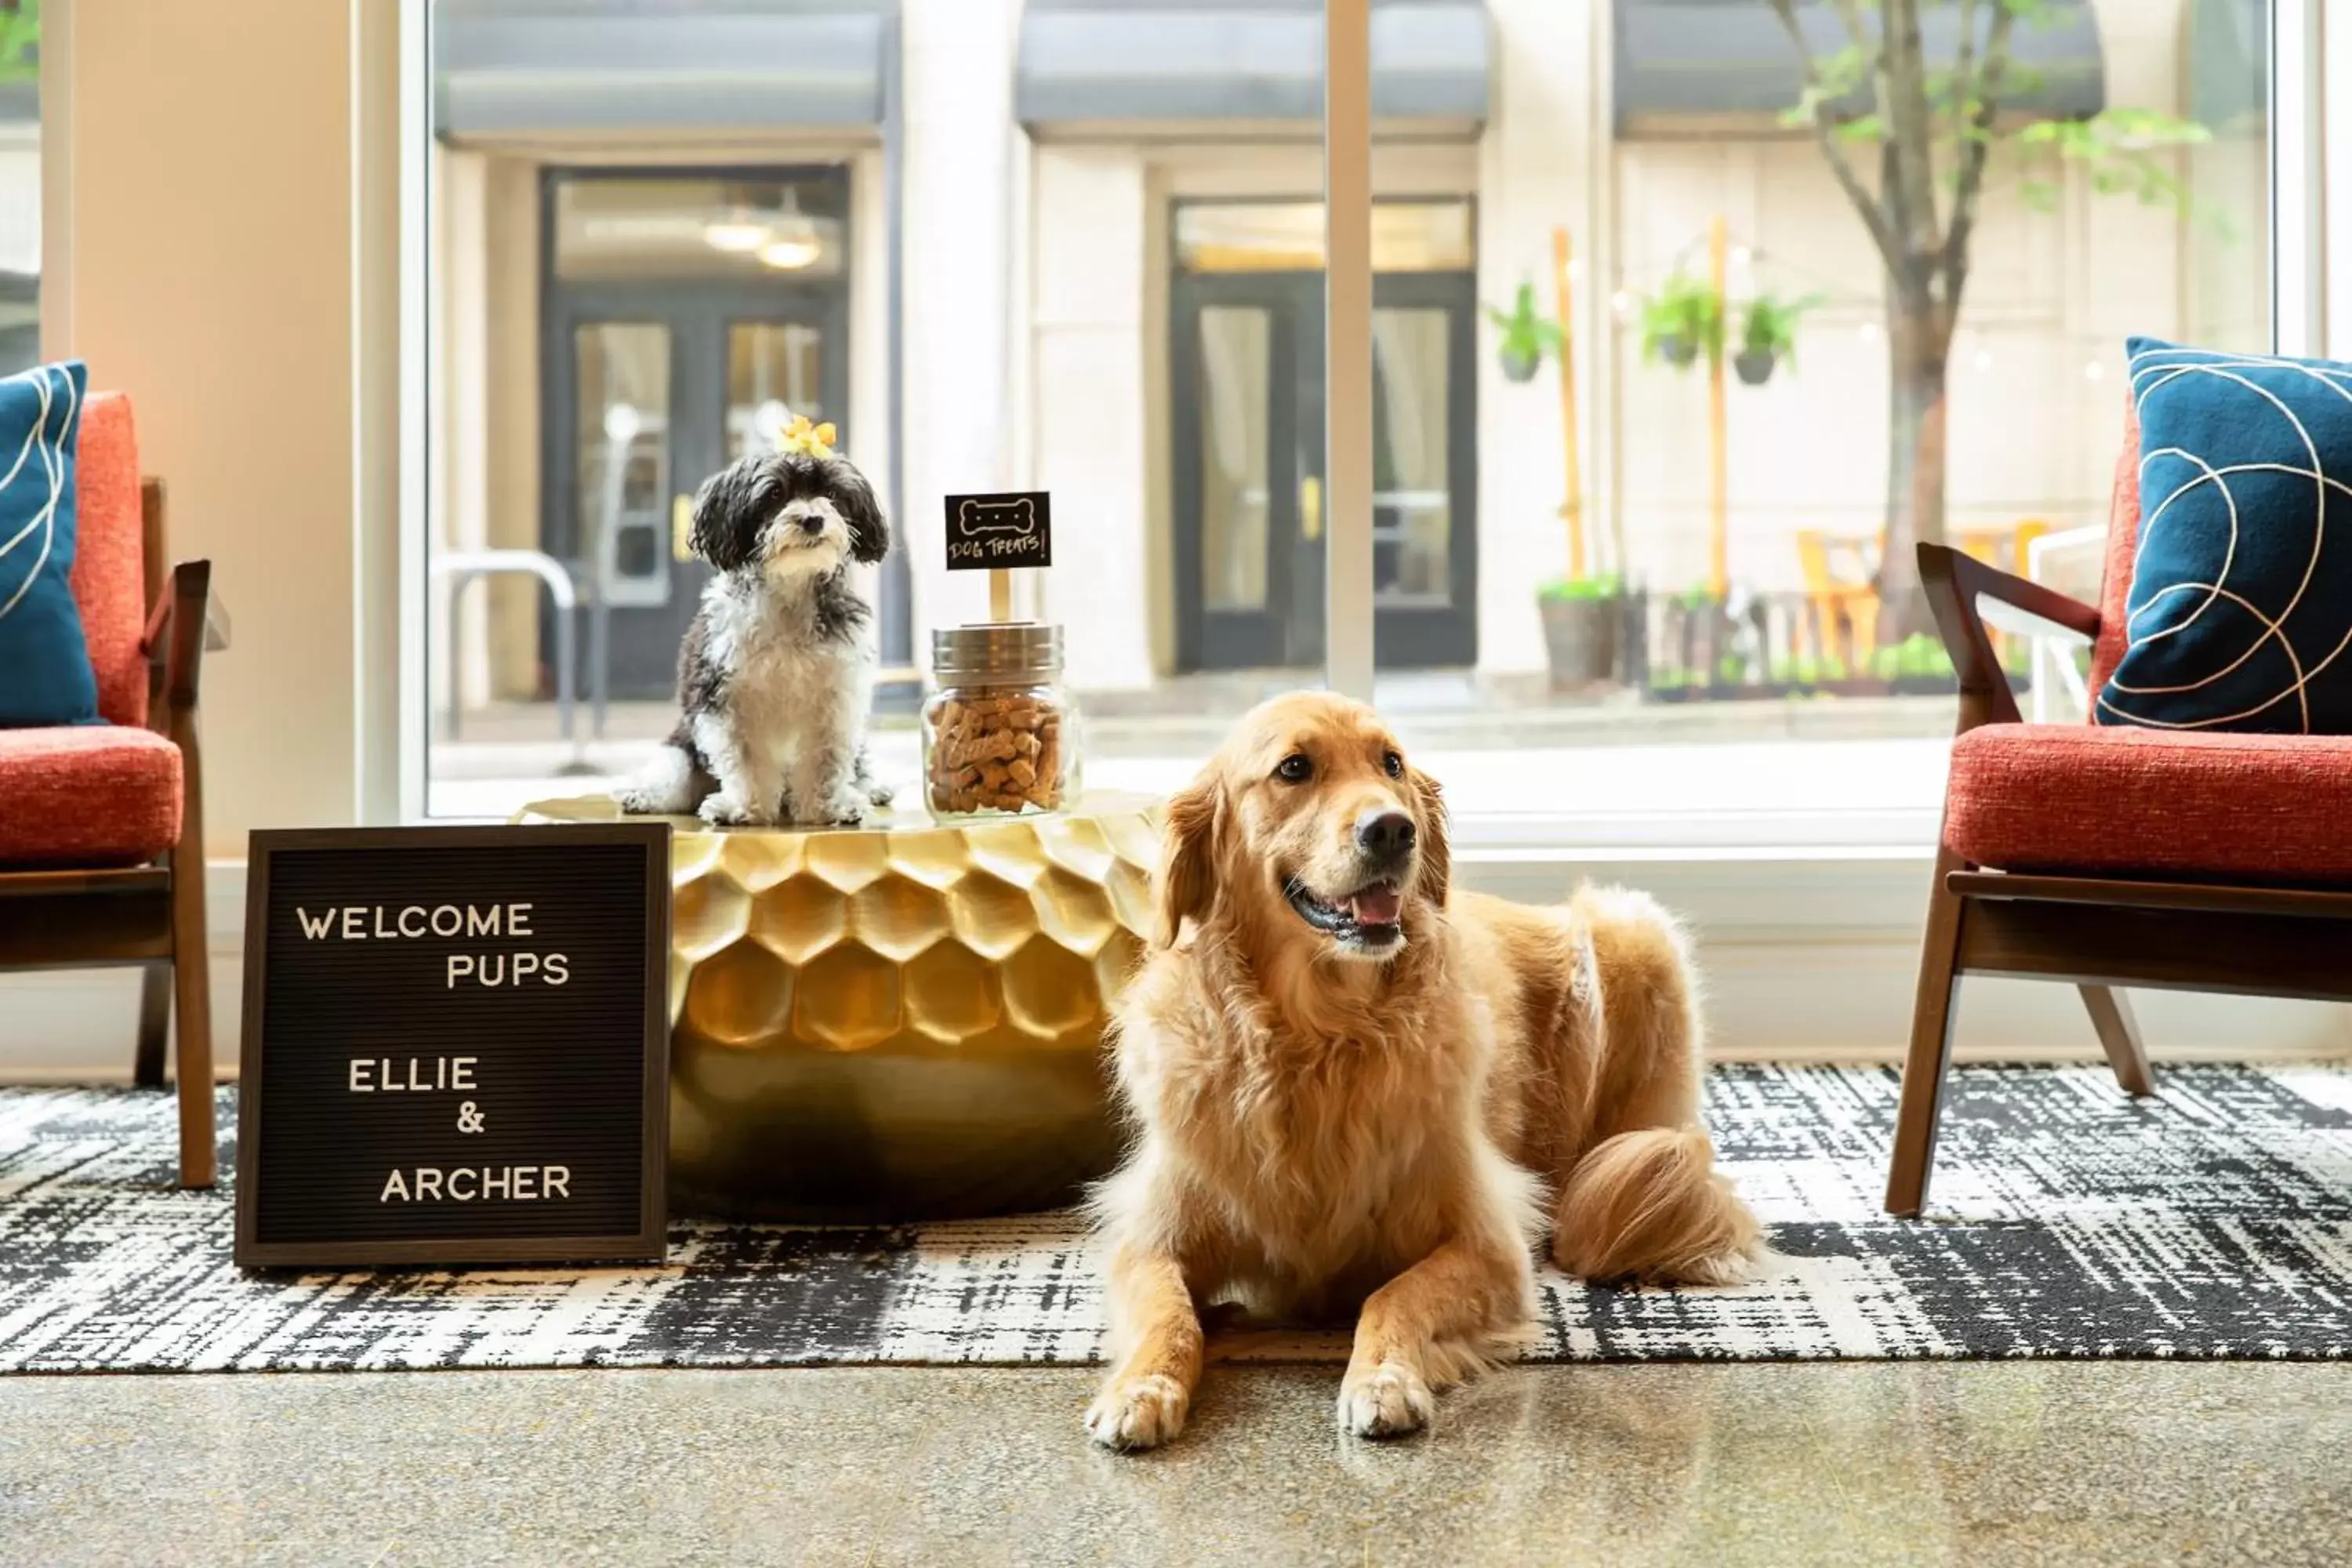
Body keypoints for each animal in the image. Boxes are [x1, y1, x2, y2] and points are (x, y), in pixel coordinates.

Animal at [616, 423, 889, 827]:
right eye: (775, 493)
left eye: (831, 494)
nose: (813, 519)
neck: (790, 590)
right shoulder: (722, 696)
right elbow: (744, 760)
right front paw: (744, 808)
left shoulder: (837, 695)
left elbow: (827, 758)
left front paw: (828, 807)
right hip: (682, 747)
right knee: (675, 774)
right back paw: (646, 794)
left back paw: (870, 788)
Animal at [1091, 691, 1759, 1457]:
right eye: (1294, 768)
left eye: (1391, 763)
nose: (1392, 830)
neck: (1319, 1041)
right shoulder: (1149, 1237)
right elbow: (1168, 1313)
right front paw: (1142, 1387)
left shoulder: (1488, 1242)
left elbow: (1393, 1296)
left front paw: (1382, 1379)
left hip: (1631, 936)